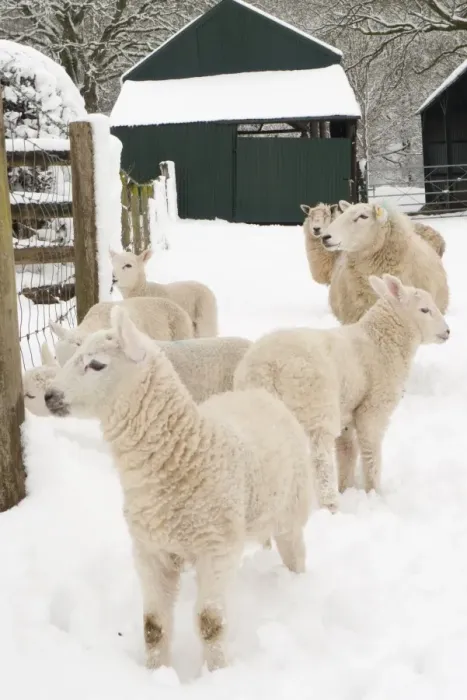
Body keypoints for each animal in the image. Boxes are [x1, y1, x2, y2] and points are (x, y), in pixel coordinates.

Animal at [234, 273, 450, 513]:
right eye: (424, 310)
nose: (447, 331)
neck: (381, 340)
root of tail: (265, 368)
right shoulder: (373, 408)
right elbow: (371, 452)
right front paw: (373, 492)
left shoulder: (347, 411)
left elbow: (347, 451)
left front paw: (347, 487)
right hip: (315, 404)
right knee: (320, 458)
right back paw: (330, 505)